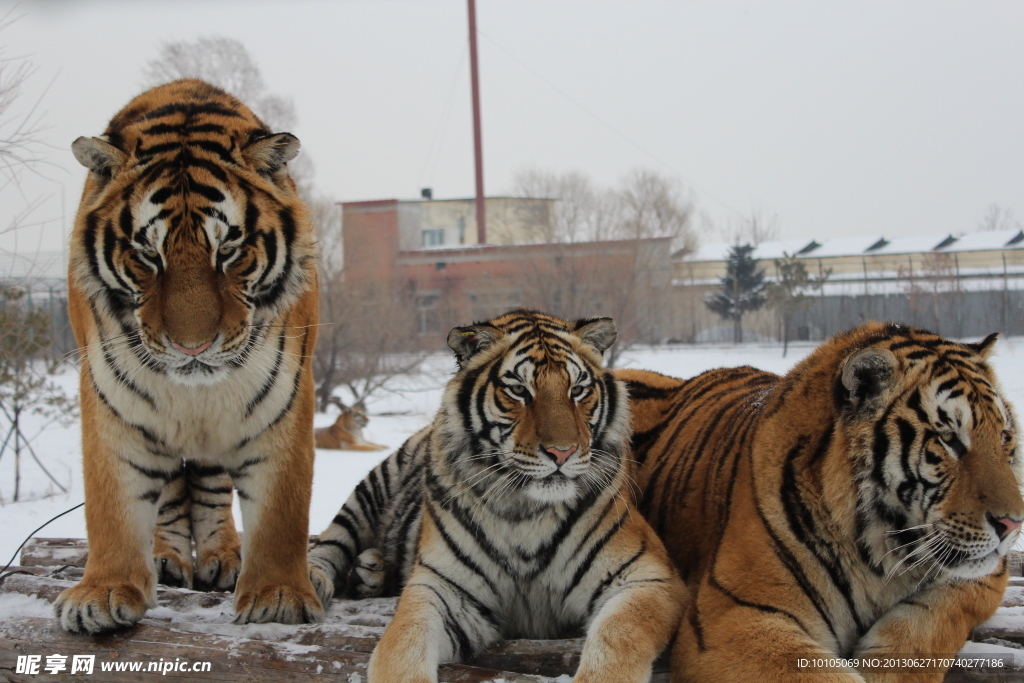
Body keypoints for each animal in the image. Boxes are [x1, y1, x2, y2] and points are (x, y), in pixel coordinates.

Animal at [56, 80, 319, 634]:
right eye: (147, 255)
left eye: (229, 251)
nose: (192, 346)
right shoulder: (111, 401)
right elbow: (112, 504)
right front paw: (102, 591)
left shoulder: (283, 398)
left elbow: (282, 508)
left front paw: (277, 597)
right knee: (171, 491)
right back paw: (166, 556)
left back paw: (224, 556)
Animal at [305, 309, 688, 683]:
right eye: (519, 390)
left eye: (578, 390)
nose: (562, 453)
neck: (526, 510)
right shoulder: (442, 588)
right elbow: (403, 647)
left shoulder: (647, 576)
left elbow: (618, 639)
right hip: (372, 489)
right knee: (331, 540)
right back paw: (318, 580)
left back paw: (371, 570)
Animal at [618, 323, 1019, 679]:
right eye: (948, 439)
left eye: (1004, 437)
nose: (1013, 524)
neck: (879, 555)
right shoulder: (734, 616)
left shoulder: (980, 576)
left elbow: (924, 628)